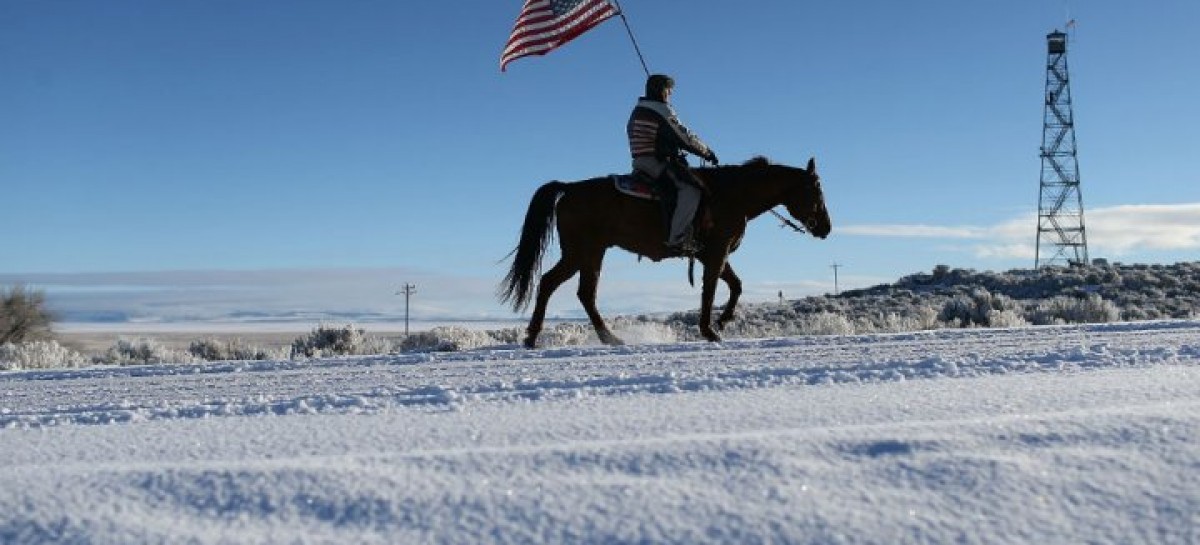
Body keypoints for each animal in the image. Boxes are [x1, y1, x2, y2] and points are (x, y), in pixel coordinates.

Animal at [501, 154, 830, 348]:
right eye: (816, 190)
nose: (826, 228)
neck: (732, 195)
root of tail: (570, 188)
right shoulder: (716, 253)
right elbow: (711, 290)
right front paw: (710, 330)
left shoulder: (711, 254)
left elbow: (735, 285)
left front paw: (722, 321)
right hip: (582, 252)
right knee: (557, 285)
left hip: (590, 253)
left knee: (576, 291)